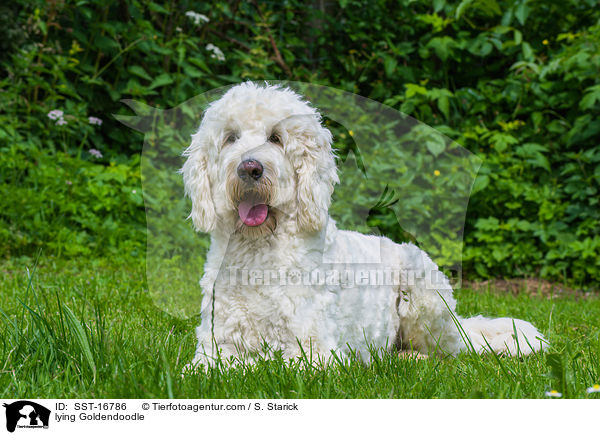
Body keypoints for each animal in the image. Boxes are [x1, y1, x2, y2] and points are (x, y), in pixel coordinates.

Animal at [180, 82, 548, 368]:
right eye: (230, 138)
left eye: (276, 138)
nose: (250, 168)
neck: (259, 247)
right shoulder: (215, 348)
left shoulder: (315, 353)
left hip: (420, 285)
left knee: (447, 353)